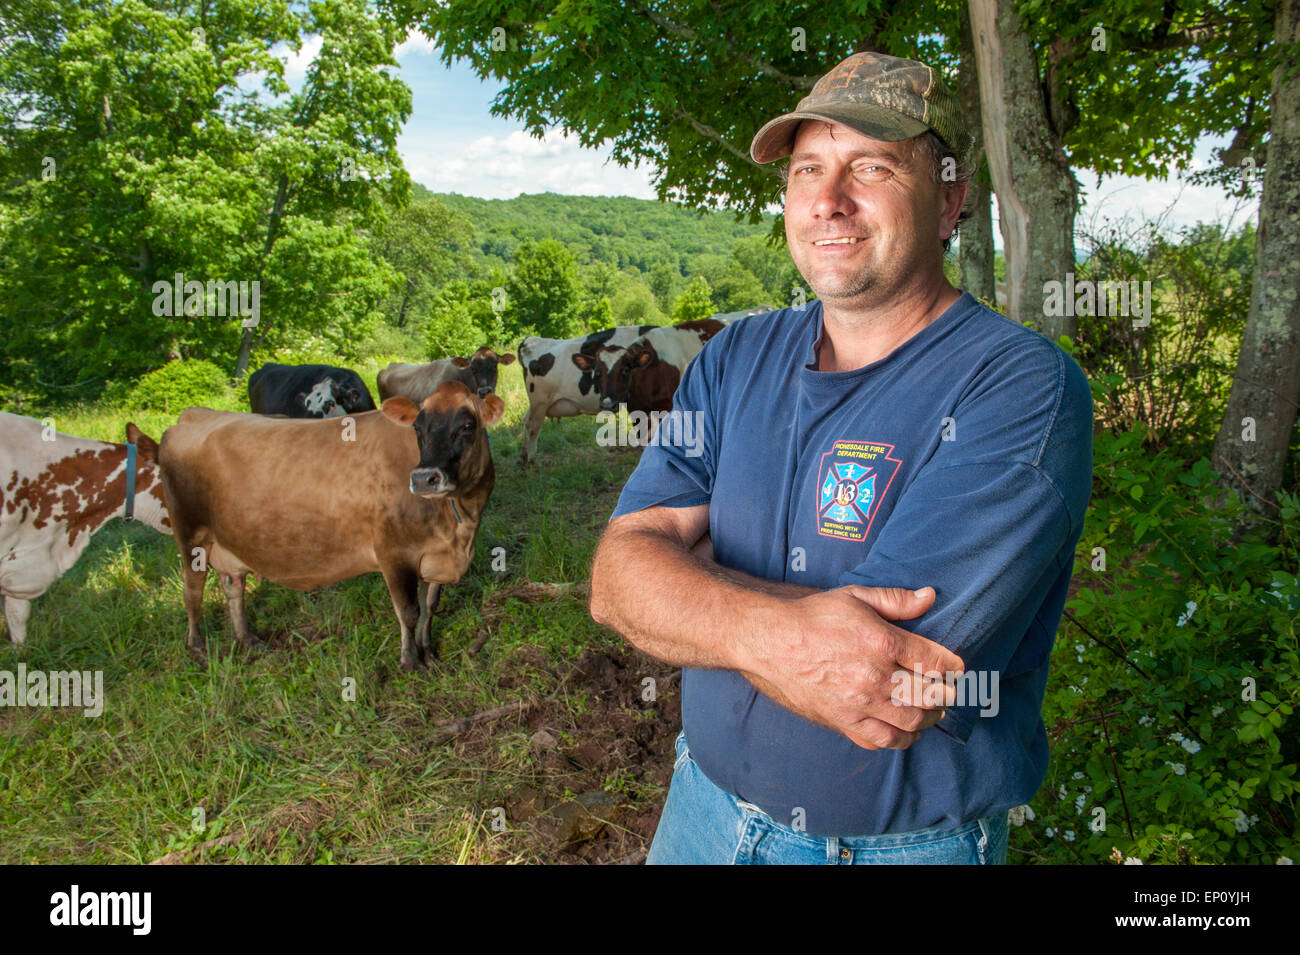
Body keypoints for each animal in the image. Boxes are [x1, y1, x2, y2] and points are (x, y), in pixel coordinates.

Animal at [159, 382, 504, 670]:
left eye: (468, 425)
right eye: (418, 427)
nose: (423, 478)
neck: (460, 527)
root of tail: (193, 416)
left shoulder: (436, 554)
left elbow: (430, 605)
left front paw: (428, 651)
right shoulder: (393, 554)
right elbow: (408, 611)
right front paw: (410, 661)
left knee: (233, 587)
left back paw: (247, 639)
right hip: (190, 534)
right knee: (192, 591)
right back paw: (198, 648)